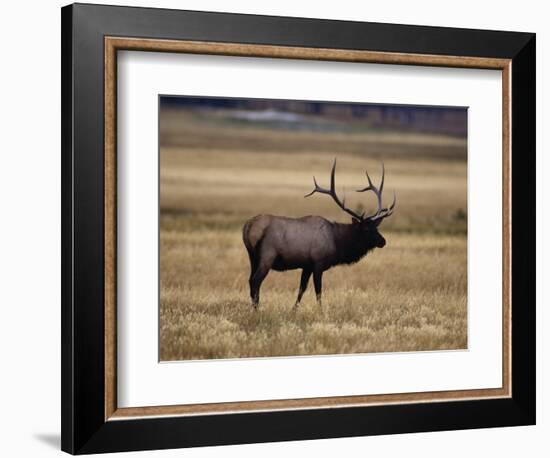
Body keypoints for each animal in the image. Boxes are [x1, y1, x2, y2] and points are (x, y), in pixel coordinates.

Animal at [243, 159, 396, 310]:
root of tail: (248, 227)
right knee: (256, 281)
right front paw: (320, 311)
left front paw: (294, 310)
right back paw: (257, 309)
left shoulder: (307, 265)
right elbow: (318, 291)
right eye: (366, 229)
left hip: (252, 257)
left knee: (250, 280)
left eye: (376, 227)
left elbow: (302, 288)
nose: (383, 241)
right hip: (267, 255)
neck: (337, 242)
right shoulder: (318, 262)